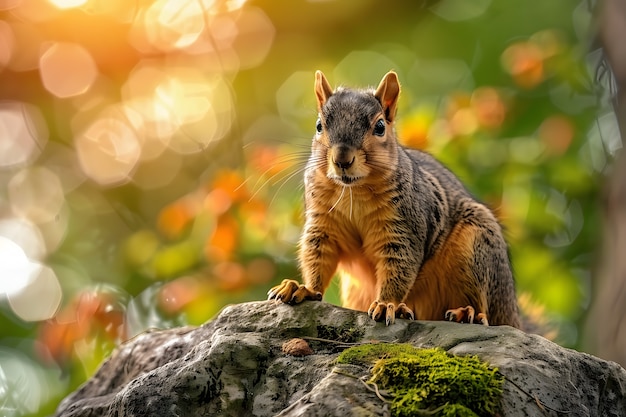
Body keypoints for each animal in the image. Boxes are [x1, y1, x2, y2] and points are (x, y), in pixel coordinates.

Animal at [266, 69, 520, 328]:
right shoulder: (322, 223)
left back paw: (466, 312)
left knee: (481, 304)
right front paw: (305, 288)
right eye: (319, 126)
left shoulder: (403, 227)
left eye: (380, 127)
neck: (353, 191)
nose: (342, 159)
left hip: (477, 248)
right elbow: (317, 255)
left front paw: (387, 304)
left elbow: (399, 265)